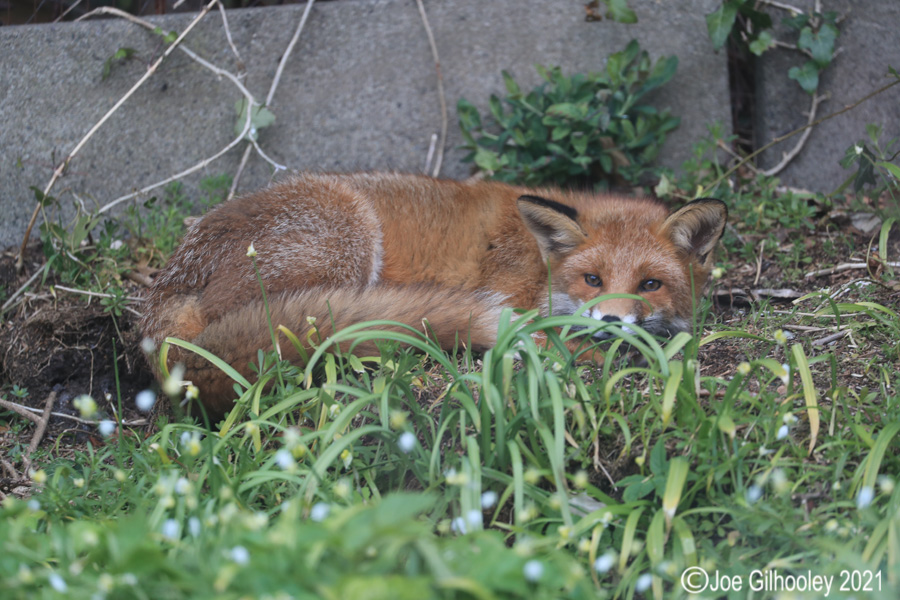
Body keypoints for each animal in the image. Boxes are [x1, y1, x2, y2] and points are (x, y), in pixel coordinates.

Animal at [140, 172, 727, 418]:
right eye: (593, 280)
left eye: (650, 284)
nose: (610, 322)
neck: (537, 265)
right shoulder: (506, 299)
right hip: (347, 241)